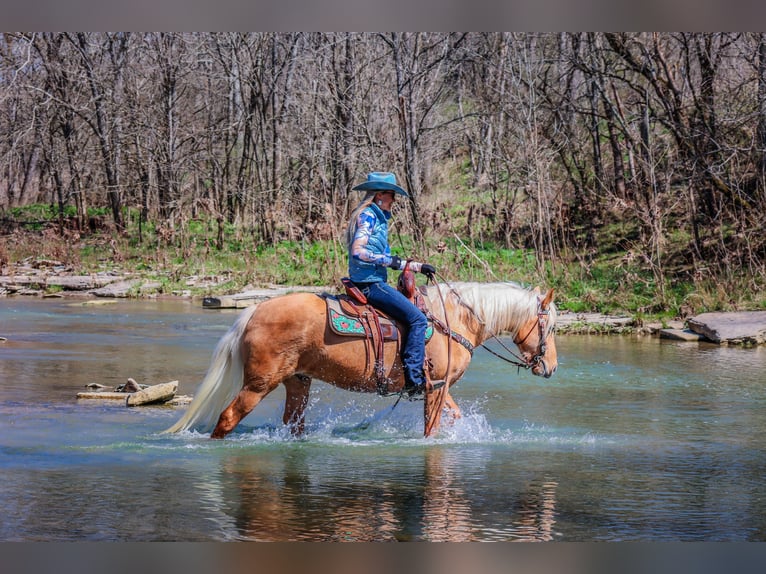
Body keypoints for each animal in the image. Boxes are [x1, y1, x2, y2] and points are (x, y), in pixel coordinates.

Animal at [164, 284, 560, 440]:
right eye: (551, 326)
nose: (551, 368)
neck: (455, 322)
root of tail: (254, 311)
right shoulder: (434, 387)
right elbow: (431, 429)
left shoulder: (438, 387)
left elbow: (455, 416)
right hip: (259, 384)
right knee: (228, 417)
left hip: (298, 382)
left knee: (293, 424)